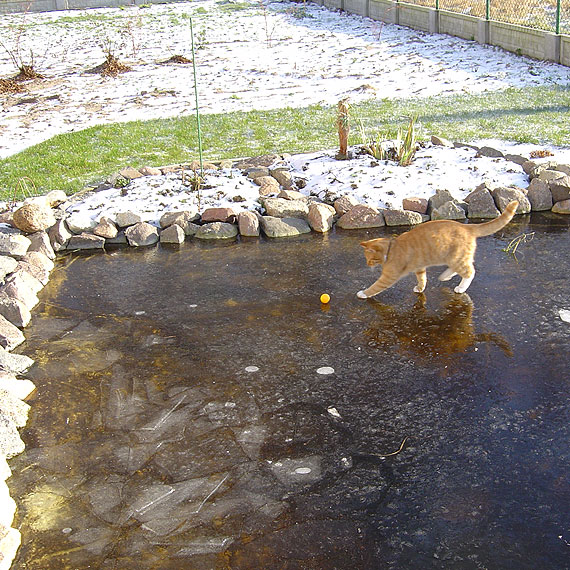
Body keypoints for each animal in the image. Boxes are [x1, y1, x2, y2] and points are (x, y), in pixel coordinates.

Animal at [358, 200, 516, 298]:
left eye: (369, 259)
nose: (366, 264)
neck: (391, 249)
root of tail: (467, 226)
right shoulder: (420, 268)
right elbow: (422, 279)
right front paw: (420, 288)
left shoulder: (388, 277)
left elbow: (375, 287)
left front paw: (363, 293)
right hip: (454, 258)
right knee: (460, 268)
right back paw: (445, 276)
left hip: (456, 258)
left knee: (470, 272)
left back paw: (460, 288)